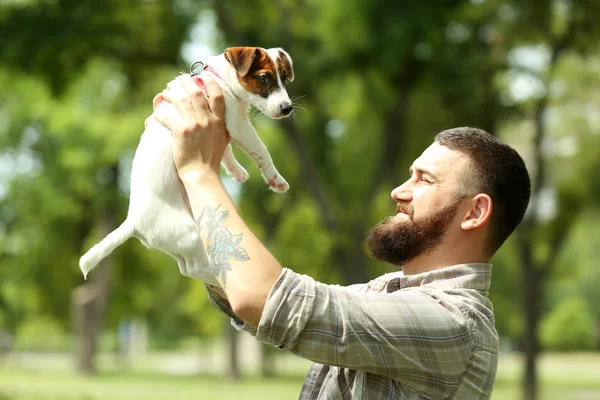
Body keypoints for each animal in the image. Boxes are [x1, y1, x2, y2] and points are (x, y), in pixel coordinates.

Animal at [79, 47, 296, 284]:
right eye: (263, 78)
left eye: (285, 79)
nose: (288, 108)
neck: (220, 79)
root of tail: (134, 222)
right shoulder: (239, 125)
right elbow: (262, 151)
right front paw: (276, 179)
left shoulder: (223, 126)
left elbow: (226, 152)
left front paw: (237, 172)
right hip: (189, 232)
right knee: (192, 268)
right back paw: (215, 274)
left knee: (185, 266)